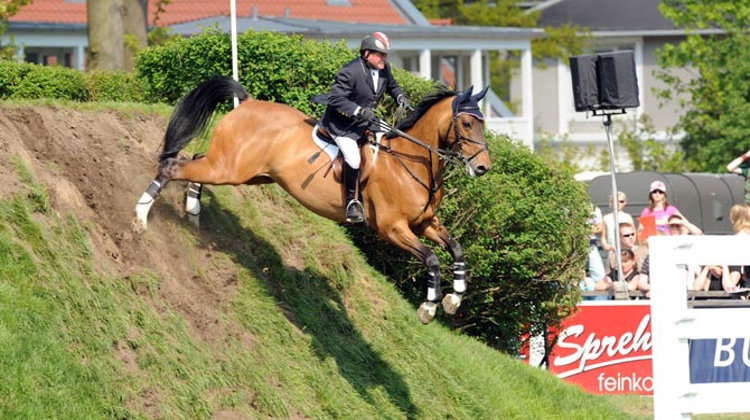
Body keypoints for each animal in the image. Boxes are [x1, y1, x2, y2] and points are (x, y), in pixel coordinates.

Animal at [135, 76, 494, 324]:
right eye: (466, 123)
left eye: (482, 123)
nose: (482, 168)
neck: (411, 161)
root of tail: (248, 102)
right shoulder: (393, 229)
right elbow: (432, 259)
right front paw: (429, 306)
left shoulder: (424, 223)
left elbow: (457, 250)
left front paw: (454, 299)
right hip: (231, 169)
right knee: (173, 166)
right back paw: (140, 217)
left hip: (244, 171)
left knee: (195, 160)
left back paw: (193, 208)